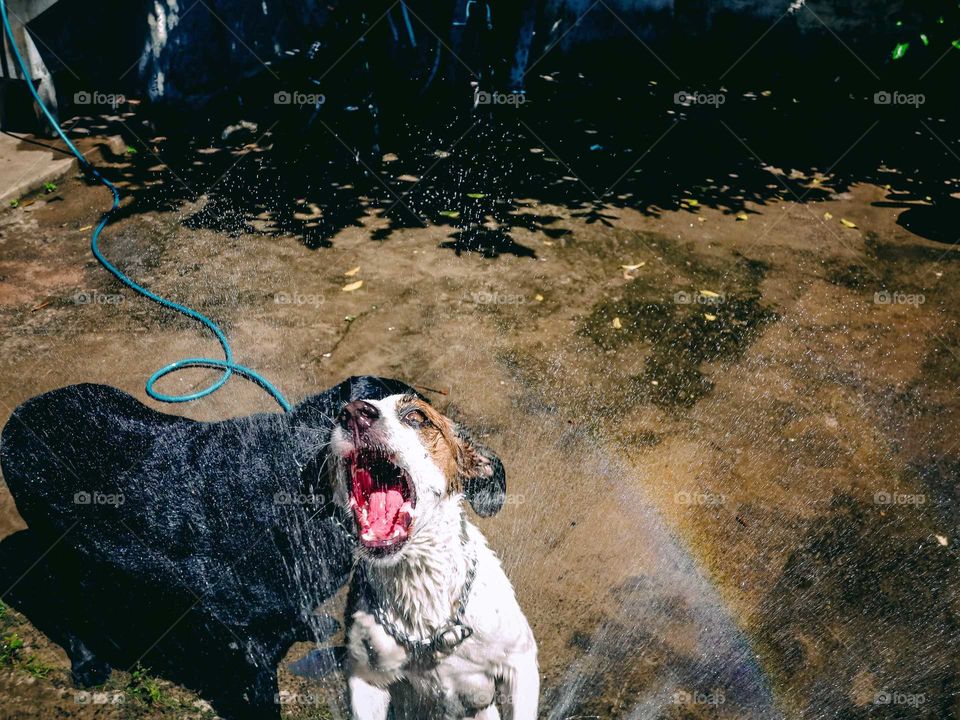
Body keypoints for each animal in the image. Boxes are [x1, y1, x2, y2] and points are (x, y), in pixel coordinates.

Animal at [0, 374, 456, 716]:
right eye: (413, 417)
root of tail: (19, 414)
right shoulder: (242, 630)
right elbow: (262, 688)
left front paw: (307, 624)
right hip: (58, 546)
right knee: (64, 605)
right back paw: (88, 661)